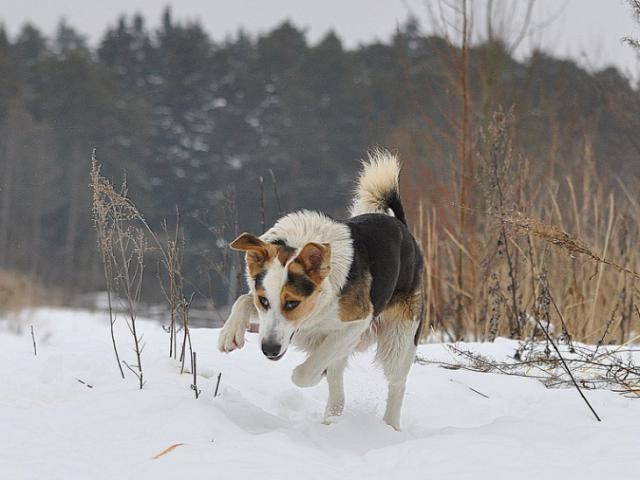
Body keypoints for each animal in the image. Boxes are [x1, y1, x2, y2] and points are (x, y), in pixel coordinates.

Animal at [218, 150, 422, 432]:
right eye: (264, 301)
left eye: (292, 303)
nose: (269, 349)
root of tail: (401, 226)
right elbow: (243, 299)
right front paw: (230, 334)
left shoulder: (357, 321)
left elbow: (307, 371)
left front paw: (309, 375)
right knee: (338, 385)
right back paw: (331, 421)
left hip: (398, 339)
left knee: (396, 383)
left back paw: (390, 427)